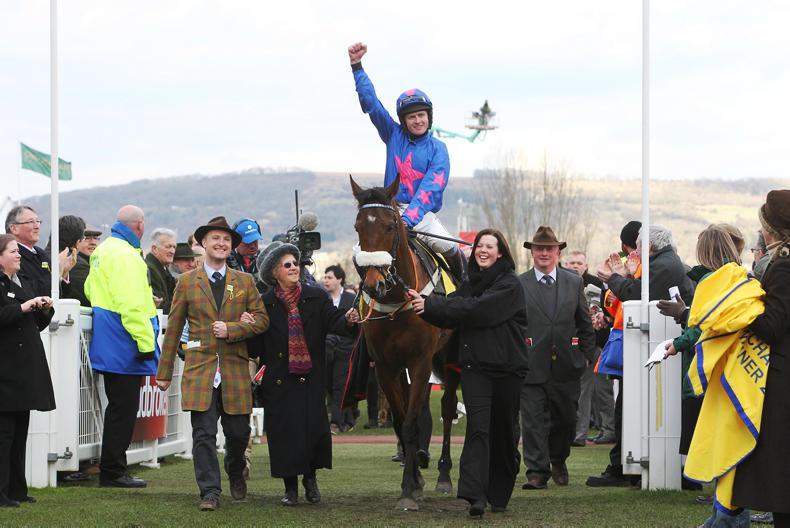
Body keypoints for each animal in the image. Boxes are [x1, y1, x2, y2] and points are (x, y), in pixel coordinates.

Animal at [350, 175, 460, 511]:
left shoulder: (421, 361)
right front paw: (411, 483)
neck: (399, 299)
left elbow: (411, 423)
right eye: (358, 227)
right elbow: (401, 423)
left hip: (449, 356)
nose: (374, 284)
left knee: (448, 408)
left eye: (389, 226)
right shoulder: (387, 366)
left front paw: (410, 492)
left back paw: (444, 476)